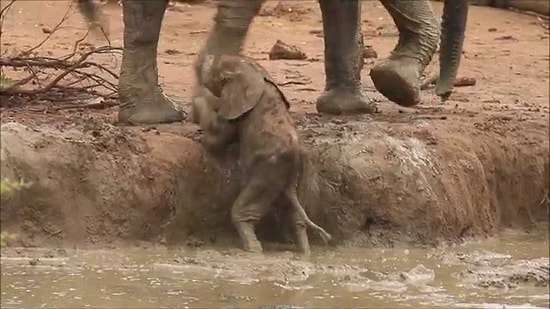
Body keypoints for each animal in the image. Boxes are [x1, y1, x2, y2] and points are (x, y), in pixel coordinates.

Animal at [192, 54, 332, 254]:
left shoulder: (235, 108)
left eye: (214, 69)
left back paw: (253, 249)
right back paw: (305, 253)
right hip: (299, 175)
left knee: (245, 208)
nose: (205, 57)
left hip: (268, 170)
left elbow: (219, 136)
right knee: (294, 212)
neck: (254, 72)